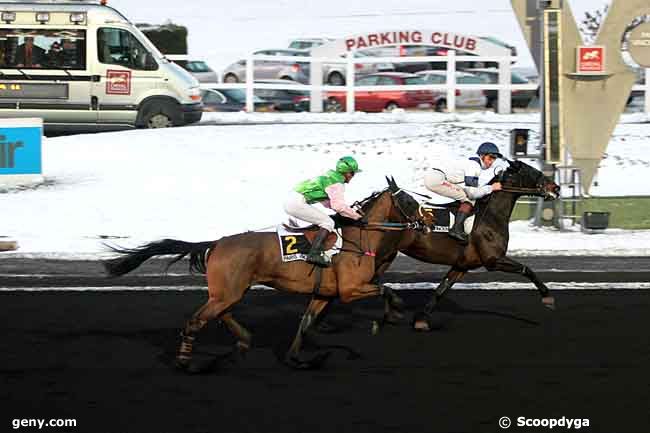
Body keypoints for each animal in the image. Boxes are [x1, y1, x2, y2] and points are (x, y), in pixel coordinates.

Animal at [103, 177, 422, 370]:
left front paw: (297, 358)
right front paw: (391, 316)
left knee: (221, 313)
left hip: (229, 290)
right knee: (198, 319)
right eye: (408, 201)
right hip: (228, 290)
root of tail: (217, 243)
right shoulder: (351, 288)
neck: (359, 238)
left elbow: (305, 323)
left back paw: (244, 340)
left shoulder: (325, 294)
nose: (423, 222)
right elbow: (387, 290)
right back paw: (185, 361)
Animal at [372, 159, 560, 330]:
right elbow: (527, 269)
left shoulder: (462, 265)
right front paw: (547, 297)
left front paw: (421, 319)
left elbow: (442, 288)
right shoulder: (493, 259)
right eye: (534, 172)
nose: (556, 188)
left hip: (388, 254)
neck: (490, 216)